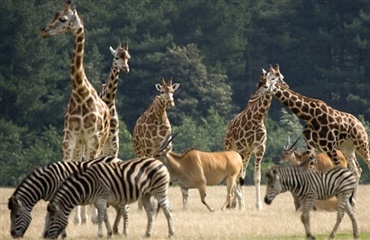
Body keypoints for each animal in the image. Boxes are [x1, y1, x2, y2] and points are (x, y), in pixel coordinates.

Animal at [41, 0, 110, 224]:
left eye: (63, 19)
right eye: (54, 15)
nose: (44, 31)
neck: (80, 93)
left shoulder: (93, 138)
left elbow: (90, 170)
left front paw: (93, 216)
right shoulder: (69, 138)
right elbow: (66, 169)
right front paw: (72, 216)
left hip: (98, 142)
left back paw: (92, 215)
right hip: (81, 143)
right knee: (78, 165)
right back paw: (81, 216)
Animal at [43, 158, 175, 238]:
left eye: (53, 219)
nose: (47, 237)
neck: (89, 184)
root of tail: (158, 161)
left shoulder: (101, 198)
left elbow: (100, 217)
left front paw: (99, 235)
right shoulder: (99, 201)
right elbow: (105, 216)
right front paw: (109, 233)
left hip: (160, 191)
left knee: (168, 210)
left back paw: (171, 233)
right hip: (146, 194)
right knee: (151, 213)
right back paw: (147, 234)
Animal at [224, 70, 288, 210]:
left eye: (281, 76)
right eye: (271, 78)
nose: (285, 86)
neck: (256, 120)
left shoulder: (259, 148)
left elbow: (256, 177)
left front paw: (259, 205)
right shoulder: (242, 147)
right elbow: (240, 176)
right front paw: (241, 204)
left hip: (247, 153)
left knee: (240, 174)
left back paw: (234, 202)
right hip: (230, 147)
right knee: (235, 174)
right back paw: (233, 202)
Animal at [254, 64, 370, 202]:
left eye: (266, 85)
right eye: (259, 83)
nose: (254, 96)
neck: (309, 116)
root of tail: (360, 124)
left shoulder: (330, 147)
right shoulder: (312, 149)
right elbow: (311, 173)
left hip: (361, 144)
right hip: (347, 148)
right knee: (357, 170)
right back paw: (353, 200)